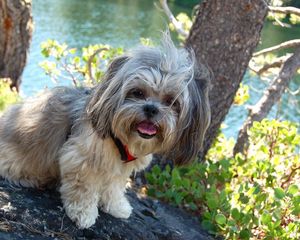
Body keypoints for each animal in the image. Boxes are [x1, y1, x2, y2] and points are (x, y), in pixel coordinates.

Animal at [0, 34, 211, 229]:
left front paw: (116, 206)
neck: (122, 139)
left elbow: (113, 186)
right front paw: (83, 213)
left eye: (171, 101)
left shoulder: (118, 168)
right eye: (137, 92)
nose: (151, 109)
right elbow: (83, 189)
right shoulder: (81, 159)